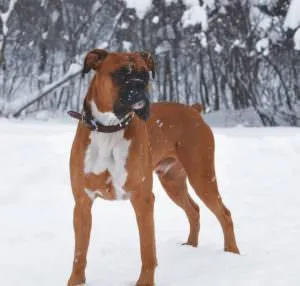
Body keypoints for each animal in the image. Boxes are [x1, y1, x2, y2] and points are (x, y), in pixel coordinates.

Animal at [67, 49, 239, 286]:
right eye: (120, 74)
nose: (139, 86)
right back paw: (191, 246)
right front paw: (75, 281)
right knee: (194, 210)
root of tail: (194, 110)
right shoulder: (82, 204)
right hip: (173, 181)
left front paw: (145, 282)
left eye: (145, 75)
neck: (109, 128)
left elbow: (147, 250)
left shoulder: (143, 200)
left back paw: (232, 254)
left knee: (224, 213)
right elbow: (79, 253)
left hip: (202, 177)